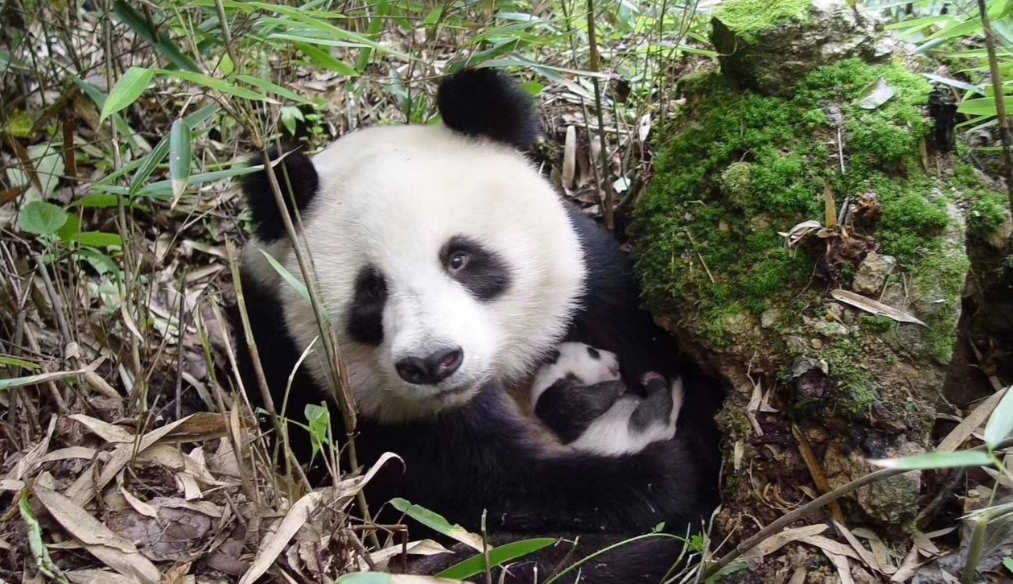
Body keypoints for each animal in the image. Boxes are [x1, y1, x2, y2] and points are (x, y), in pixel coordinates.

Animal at [232, 67, 721, 578]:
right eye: (370, 290)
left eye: (459, 259)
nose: (433, 363)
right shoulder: (318, 383)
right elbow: (489, 487)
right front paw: (660, 477)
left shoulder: (596, 292)